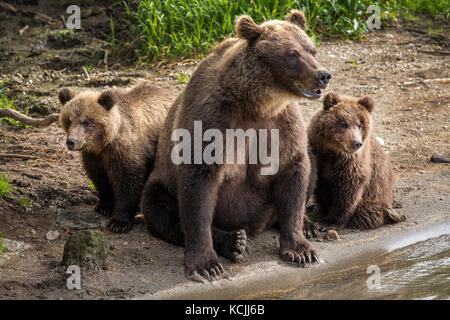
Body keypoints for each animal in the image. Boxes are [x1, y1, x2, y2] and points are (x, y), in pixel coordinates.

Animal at [141, 10, 330, 282]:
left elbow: (295, 171)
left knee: (312, 166)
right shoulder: (213, 121)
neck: (258, 104)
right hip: (161, 182)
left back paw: (308, 225)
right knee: (161, 210)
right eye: (292, 53)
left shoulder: (283, 126)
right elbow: (199, 190)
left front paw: (300, 249)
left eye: (312, 50)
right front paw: (205, 264)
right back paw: (234, 242)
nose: (322, 75)